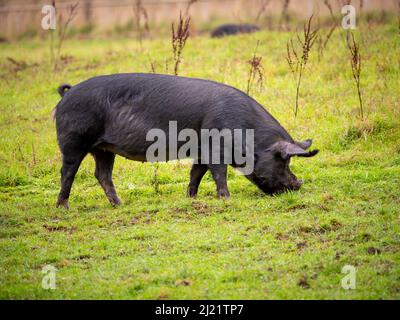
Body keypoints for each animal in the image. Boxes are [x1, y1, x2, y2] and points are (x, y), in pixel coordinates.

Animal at [55, 73, 318, 209]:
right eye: (284, 161)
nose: (298, 185)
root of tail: (67, 93)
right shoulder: (215, 148)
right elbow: (219, 173)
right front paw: (227, 199)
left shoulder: (201, 151)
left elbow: (196, 174)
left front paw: (191, 198)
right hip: (74, 140)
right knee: (68, 172)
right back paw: (64, 207)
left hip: (103, 148)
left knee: (102, 175)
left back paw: (119, 204)